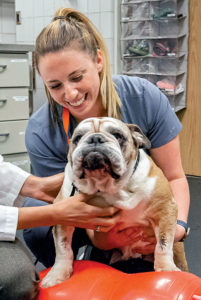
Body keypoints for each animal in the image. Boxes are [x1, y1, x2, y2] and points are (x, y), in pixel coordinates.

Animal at [41, 116, 188, 288]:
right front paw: (57, 275)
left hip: (177, 250)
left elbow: (163, 244)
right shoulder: (62, 218)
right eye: (77, 138)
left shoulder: (164, 208)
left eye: (118, 136)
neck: (108, 186)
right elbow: (63, 248)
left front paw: (165, 268)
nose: (95, 139)